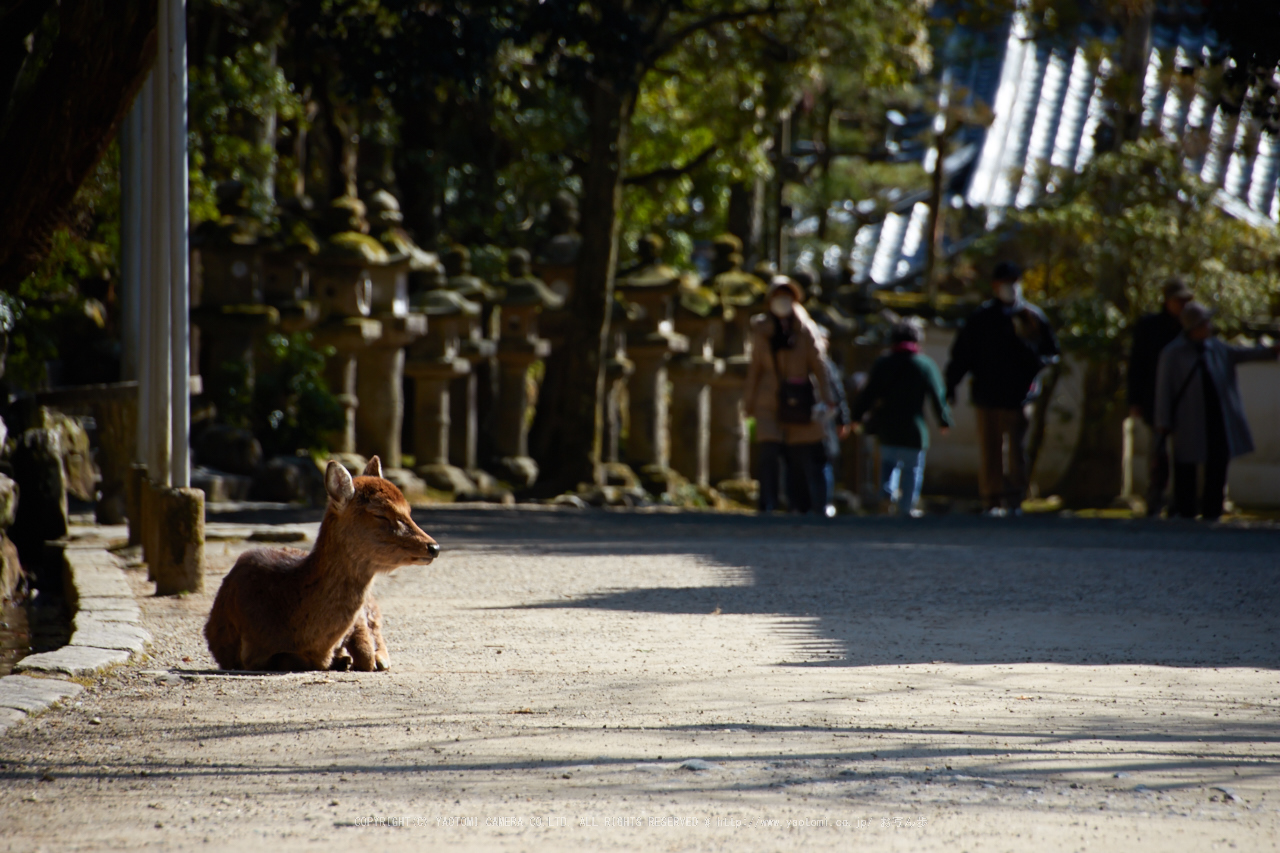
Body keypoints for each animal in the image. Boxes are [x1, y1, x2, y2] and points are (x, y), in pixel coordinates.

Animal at [200, 455, 440, 666]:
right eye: (379, 513)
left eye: (408, 510)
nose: (434, 547)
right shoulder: (249, 649)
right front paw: (342, 659)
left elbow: (366, 656)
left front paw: (352, 658)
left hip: (372, 606)